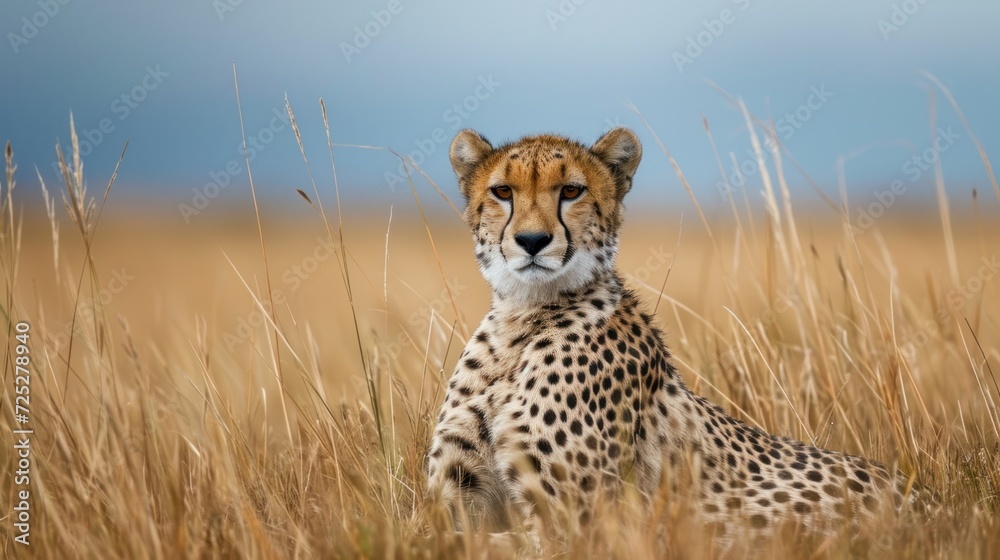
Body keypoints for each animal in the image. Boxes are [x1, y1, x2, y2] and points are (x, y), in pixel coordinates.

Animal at [425, 126, 925, 548]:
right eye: (502, 192)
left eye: (570, 191)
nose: (532, 241)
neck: (524, 319)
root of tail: (921, 494)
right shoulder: (454, 497)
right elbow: (442, 534)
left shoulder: (582, 524)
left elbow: (476, 545)